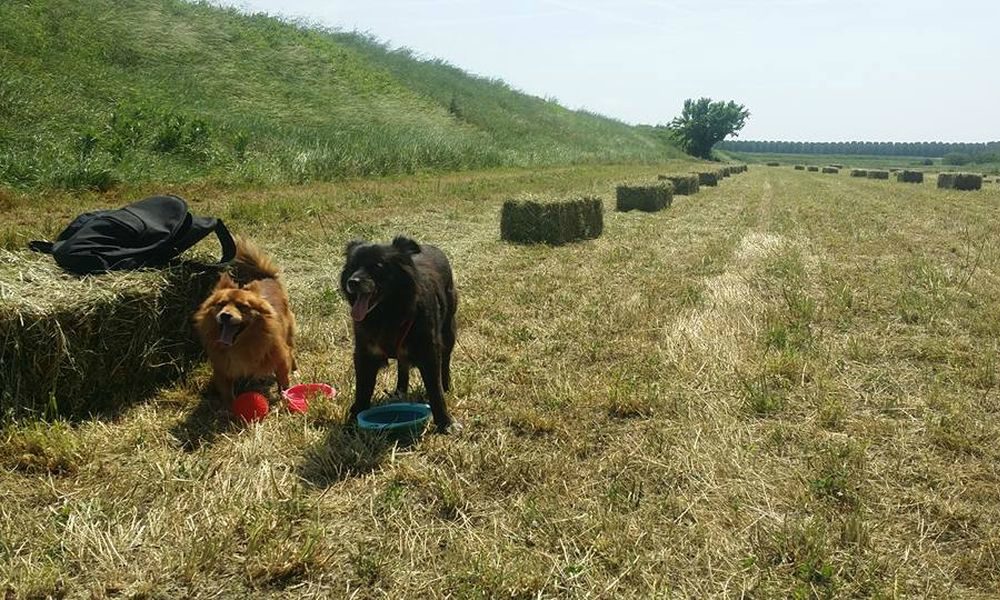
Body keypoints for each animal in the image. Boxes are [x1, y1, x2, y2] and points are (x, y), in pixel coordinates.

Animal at [191, 238, 292, 404]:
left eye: (243, 306)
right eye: (221, 304)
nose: (225, 315)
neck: (239, 346)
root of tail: (265, 276)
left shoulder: (280, 359)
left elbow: (284, 382)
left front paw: (285, 399)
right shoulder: (222, 371)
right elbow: (227, 395)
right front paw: (230, 408)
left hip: (289, 333)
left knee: (291, 349)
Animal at [338, 236, 458, 432]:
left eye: (378, 265)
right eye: (352, 265)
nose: (352, 282)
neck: (388, 313)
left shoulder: (429, 351)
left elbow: (435, 390)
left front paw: (445, 423)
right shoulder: (365, 354)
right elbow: (362, 390)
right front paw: (352, 423)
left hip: (449, 330)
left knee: (445, 360)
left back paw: (446, 384)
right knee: (403, 366)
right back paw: (399, 392)